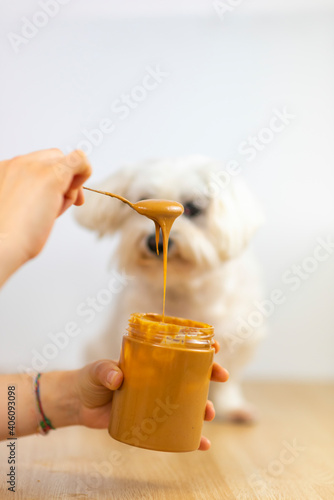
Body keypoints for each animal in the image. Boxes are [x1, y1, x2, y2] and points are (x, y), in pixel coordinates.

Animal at [75, 156, 264, 422]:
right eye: (143, 200)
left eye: (194, 207)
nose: (155, 242)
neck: (181, 287)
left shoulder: (239, 335)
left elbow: (230, 377)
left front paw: (232, 406)